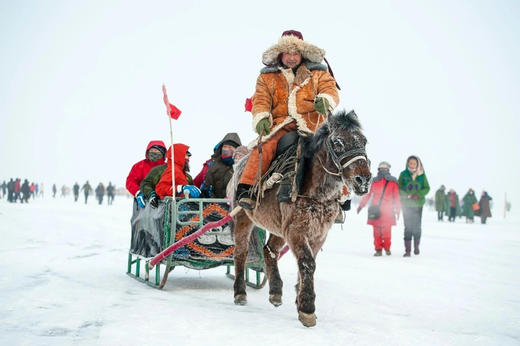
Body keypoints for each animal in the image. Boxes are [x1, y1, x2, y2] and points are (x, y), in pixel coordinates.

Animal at [230, 109, 372, 326]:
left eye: (364, 141)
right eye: (338, 142)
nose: (363, 179)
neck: (316, 193)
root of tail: (238, 163)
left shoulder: (318, 232)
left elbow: (308, 261)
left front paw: (299, 299)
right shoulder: (296, 230)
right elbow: (307, 262)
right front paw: (307, 307)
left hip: (279, 226)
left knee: (269, 250)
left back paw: (276, 291)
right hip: (243, 218)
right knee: (241, 252)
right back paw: (240, 292)